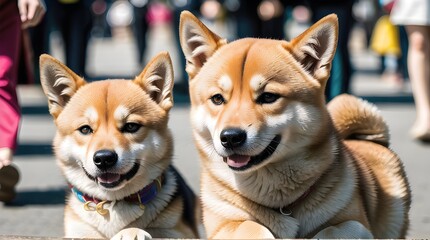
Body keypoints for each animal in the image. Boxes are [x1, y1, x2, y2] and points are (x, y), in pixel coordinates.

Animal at [39, 53, 200, 240]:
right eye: (85, 129)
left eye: (131, 126)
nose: (104, 158)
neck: (113, 202)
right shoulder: (78, 230)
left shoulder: (179, 231)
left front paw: (131, 231)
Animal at [180, 10, 412, 238]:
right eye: (217, 99)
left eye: (268, 97)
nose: (230, 137)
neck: (281, 204)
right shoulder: (223, 225)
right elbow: (251, 226)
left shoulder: (356, 224)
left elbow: (329, 231)